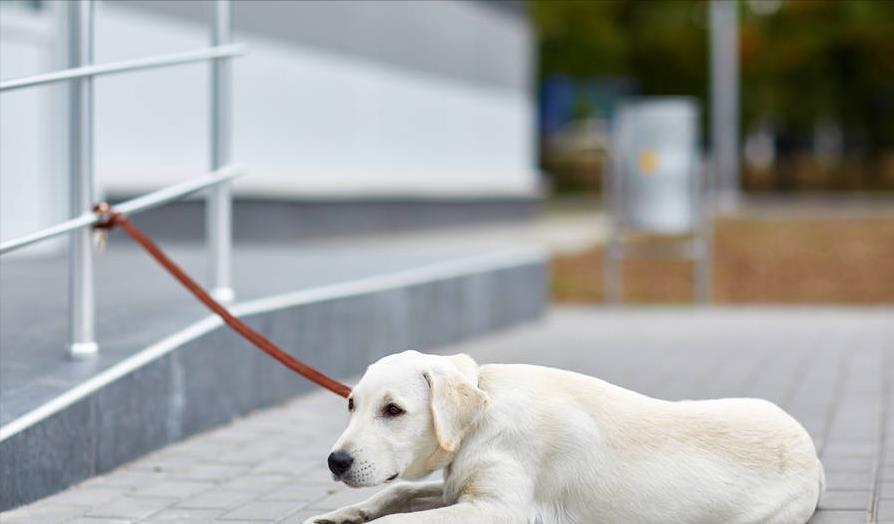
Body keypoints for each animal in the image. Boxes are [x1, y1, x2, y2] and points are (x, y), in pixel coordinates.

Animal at [302, 352, 824, 524]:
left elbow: (399, 520)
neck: (482, 418)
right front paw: (336, 516)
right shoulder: (458, 491)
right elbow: (397, 494)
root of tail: (813, 453)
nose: (335, 462)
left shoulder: (498, 510)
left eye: (393, 410)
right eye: (351, 404)